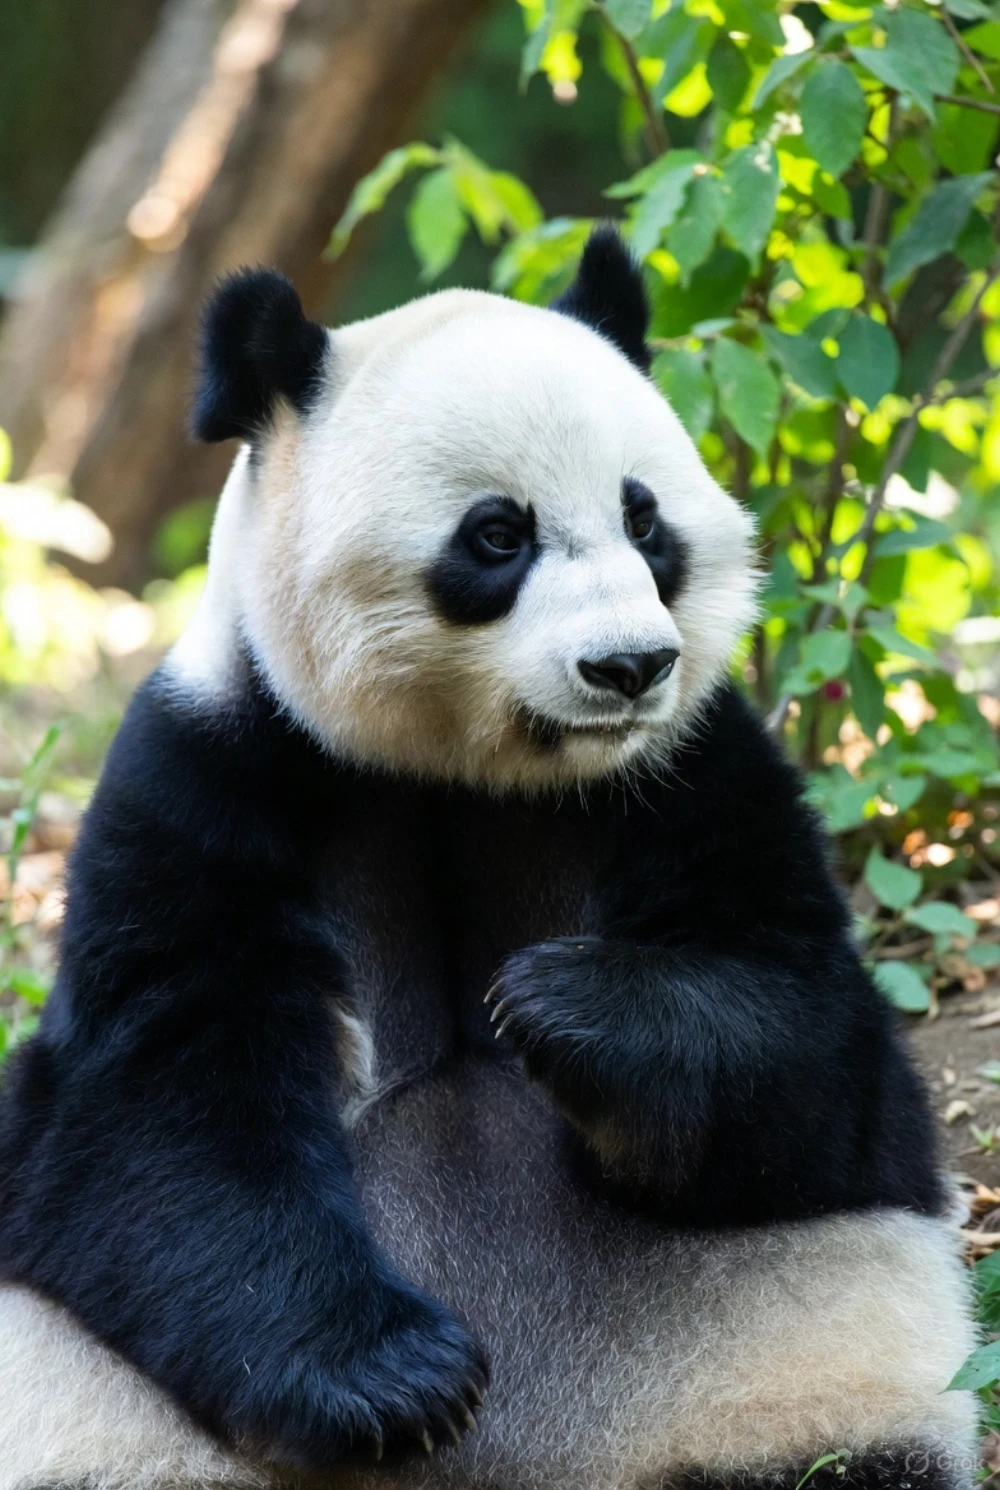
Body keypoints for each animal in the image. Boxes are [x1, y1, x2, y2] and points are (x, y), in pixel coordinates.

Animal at [0, 227, 979, 1490]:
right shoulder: (207, 773)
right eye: (497, 534)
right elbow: (164, 1099)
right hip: (104, 1417)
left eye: (644, 521)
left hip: (787, 1364)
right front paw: (394, 1381)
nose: (629, 666)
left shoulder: (698, 768)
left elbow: (811, 1041)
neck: (465, 769)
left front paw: (562, 1004)